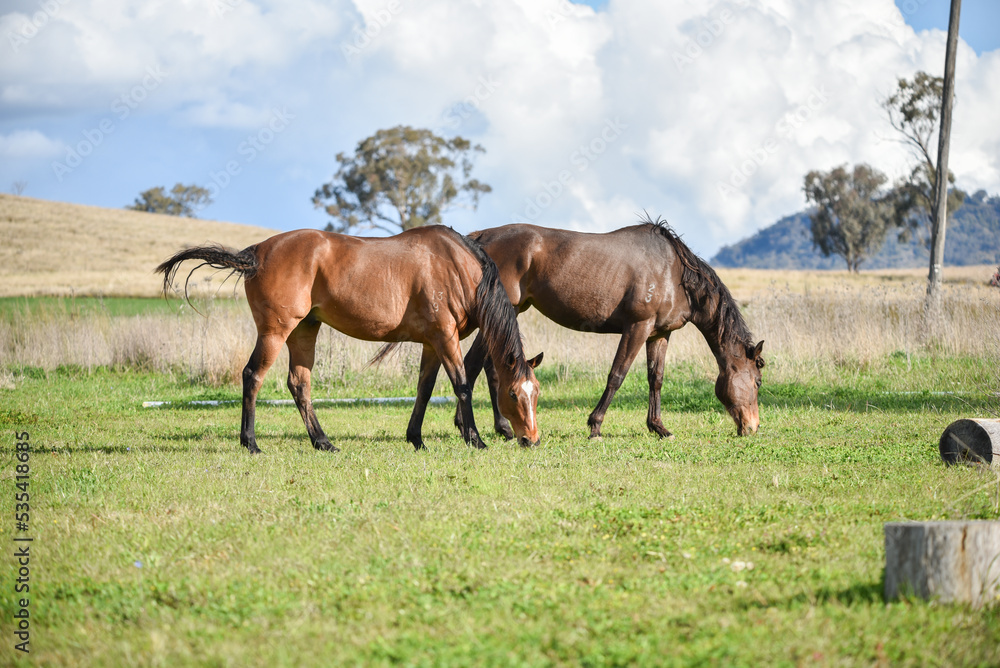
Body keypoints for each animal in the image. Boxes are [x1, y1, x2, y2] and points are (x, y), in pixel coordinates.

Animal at [155, 226, 544, 454]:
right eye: (513, 395)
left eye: (536, 393)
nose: (531, 439)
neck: (457, 267)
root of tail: (256, 253)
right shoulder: (445, 337)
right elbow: (462, 385)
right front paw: (475, 439)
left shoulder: (432, 343)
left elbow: (424, 389)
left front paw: (415, 438)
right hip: (275, 332)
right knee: (253, 376)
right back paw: (250, 443)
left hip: (304, 331)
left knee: (299, 384)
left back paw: (322, 441)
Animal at [460, 214, 764, 440]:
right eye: (758, 382)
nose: (753, 427)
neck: (673, 273)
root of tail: (480, 238)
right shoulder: (637, 328)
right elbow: (617, 375)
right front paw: (595, 425)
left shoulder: (659, 334)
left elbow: (656, 379)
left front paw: (658, 427)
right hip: (504, 310)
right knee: (473, 365)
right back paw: (470, 430)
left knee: (489, 368)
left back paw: (501, 428)